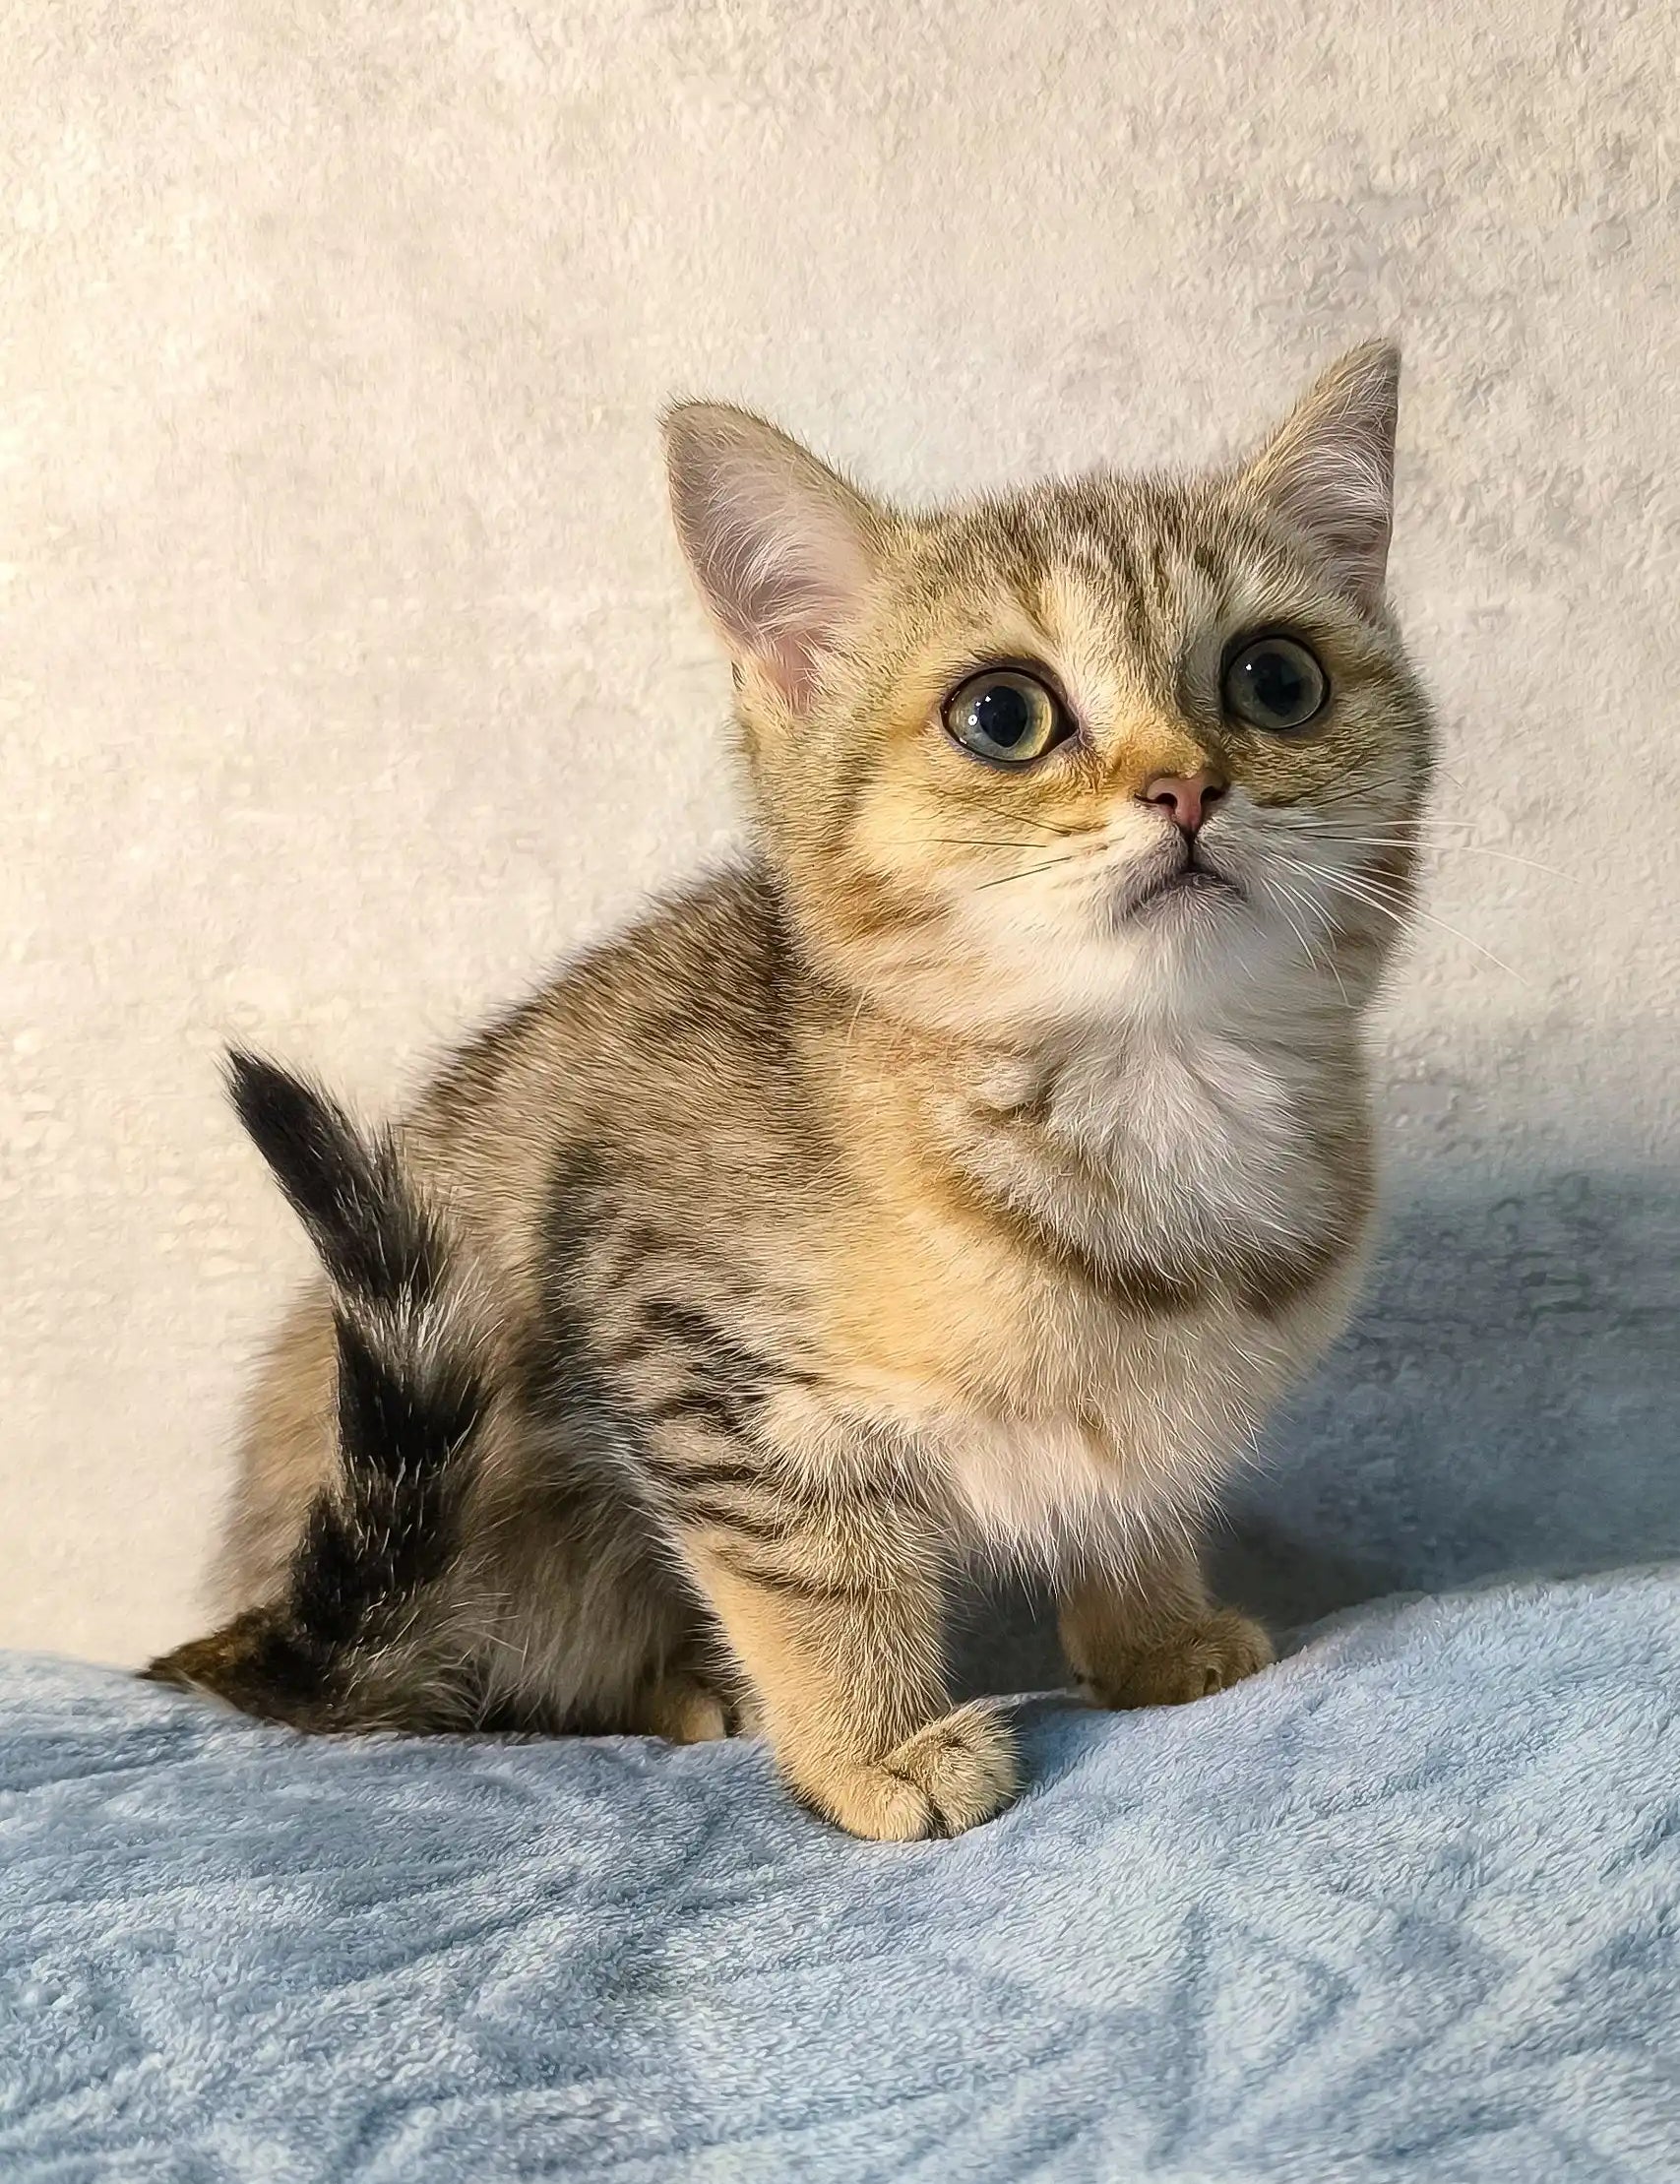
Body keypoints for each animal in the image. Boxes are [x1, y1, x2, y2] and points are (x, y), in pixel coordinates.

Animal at [147, 344, 1433, 1842]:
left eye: (1276, 679)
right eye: (1002, 714)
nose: (1186, 785)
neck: (1149, 1092)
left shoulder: (1155, 1406)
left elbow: (1137, 1494)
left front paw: (1152, 1634)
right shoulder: (671, 1324)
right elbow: (811, 1567)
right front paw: (870, 1744)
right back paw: (684, 1693)